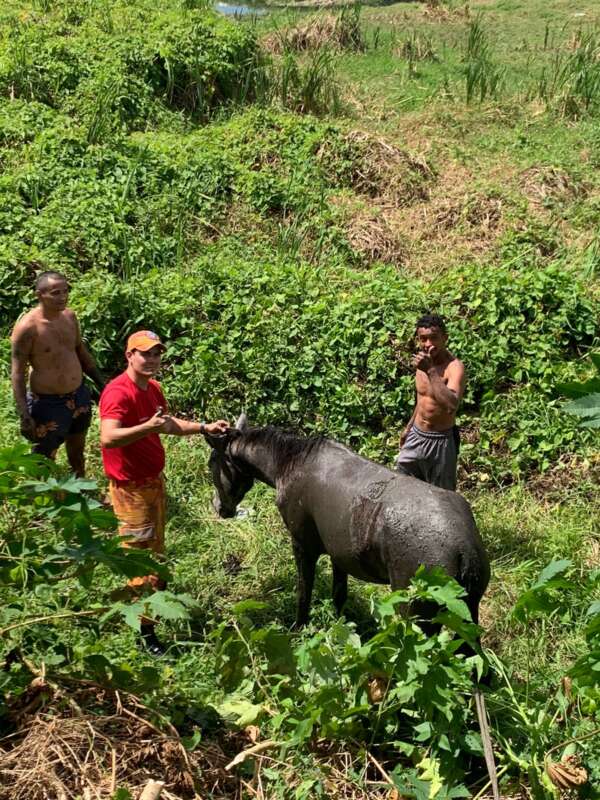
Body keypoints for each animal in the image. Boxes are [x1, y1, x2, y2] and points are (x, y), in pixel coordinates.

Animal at [204, 416, 490, 628]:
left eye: (211, 463)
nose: (219, 508)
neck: (290, 461)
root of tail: (464, 549)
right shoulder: (339, 554)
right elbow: (339, 596)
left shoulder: (303, 546)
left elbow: (303, 593)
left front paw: (298, 627)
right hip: (468, 615)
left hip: (417, 618)